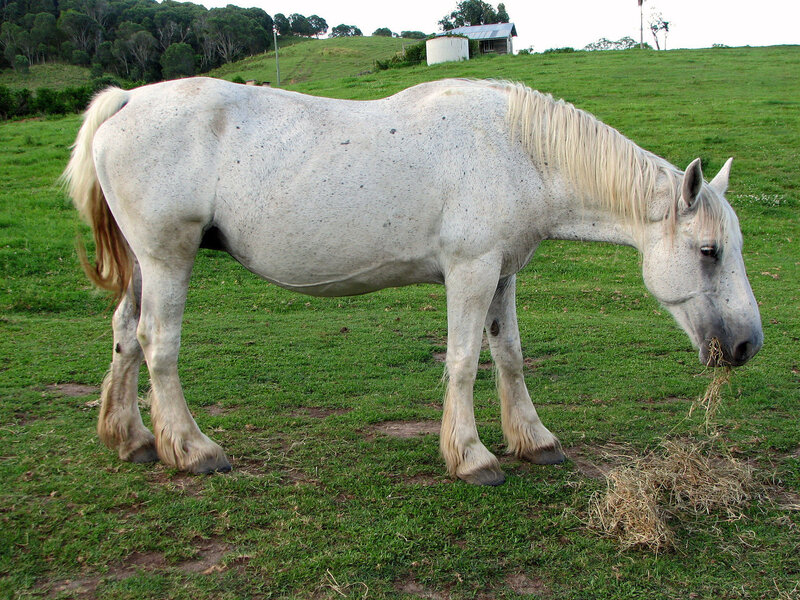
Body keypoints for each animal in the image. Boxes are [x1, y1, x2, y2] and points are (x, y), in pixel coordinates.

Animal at [62, 78, 762, 485]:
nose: (747, 344)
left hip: (143, 264)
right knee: (158, 344)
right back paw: (191, 448)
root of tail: (129, 98)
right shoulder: (471, 270)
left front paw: (533, 440)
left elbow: (509, 356)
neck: (518, 149)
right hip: (167, 257)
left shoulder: (502, 272)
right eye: (708, 250)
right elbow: (463, 361)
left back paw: (132, 440)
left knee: (125, 333)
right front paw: (472, 457)